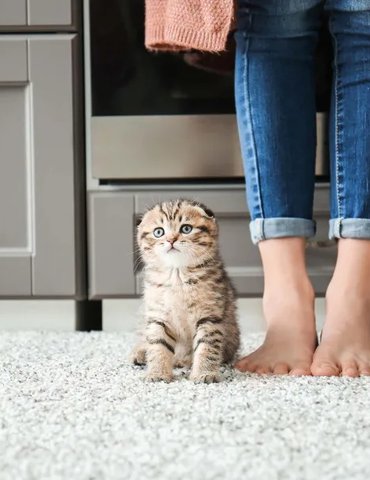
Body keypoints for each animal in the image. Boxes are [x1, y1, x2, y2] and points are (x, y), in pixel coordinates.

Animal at [132, 199, 241, 382]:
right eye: (158, 232)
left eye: (186, 229)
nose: (171, 240)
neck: (177, 276)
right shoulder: (158, 315)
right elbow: (157, 344)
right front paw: (157, 373)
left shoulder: (209, 315)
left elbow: (206, 346)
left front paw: (205, 373)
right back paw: (141, 353)